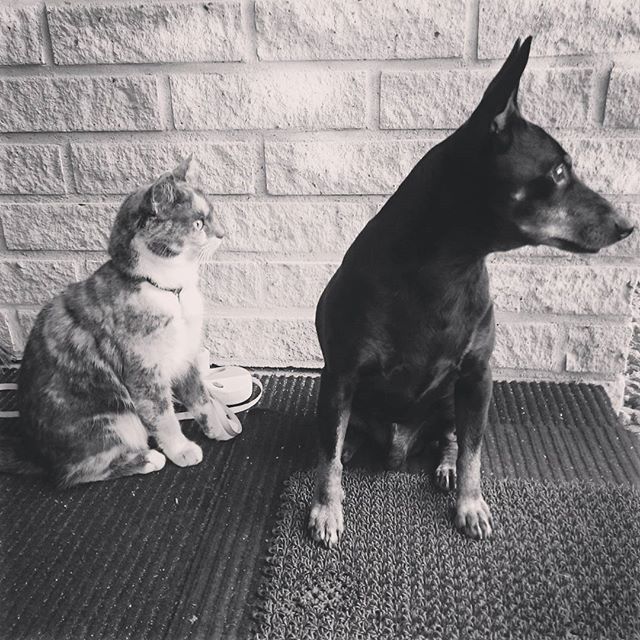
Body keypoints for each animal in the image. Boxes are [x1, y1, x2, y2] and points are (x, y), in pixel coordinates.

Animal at [5, 156, 242, 487]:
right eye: (198, 223)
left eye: (212, 214)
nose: (222, 233)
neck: (170, 291)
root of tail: (36, 455)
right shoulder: (143, 371)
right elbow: (163, 416)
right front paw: (181, 450)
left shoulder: (185, 356)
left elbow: (202, 400)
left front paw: (219, 428)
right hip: (117, 420)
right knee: (76, 472)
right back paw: (147, 459)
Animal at [308, 37, 634, 546]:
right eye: (559, 172)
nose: (627, 226)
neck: (447, 270)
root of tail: (400, 446)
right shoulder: (340, 376)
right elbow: (326, 454)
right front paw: (327, 509)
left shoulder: (479, 377)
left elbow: (473, 452)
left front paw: (470, 504)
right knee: (342, 439)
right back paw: (355, 447)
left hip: (450, 401)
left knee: (452, 437)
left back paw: (443, 466)